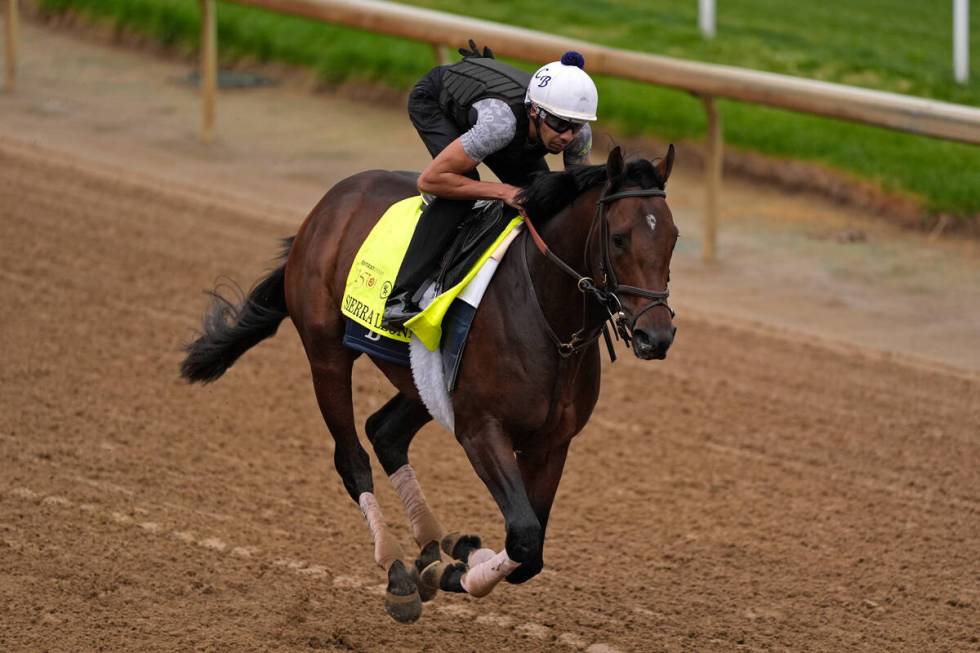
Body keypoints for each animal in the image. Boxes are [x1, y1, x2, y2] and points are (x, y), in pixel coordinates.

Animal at [180, 146, 676, 620]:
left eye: (672, 238)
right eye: (619, 237)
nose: (656, 336)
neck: (548, 320)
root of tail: (328, 204)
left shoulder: (551, 443)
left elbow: (529, 552)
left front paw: (460, 557)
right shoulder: (481, 429)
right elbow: (523, 535)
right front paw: (457, 572)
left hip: (427, 382)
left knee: (385, 432)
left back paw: (437, 547)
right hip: (327, 355)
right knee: (352, 458)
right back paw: (397, 569)